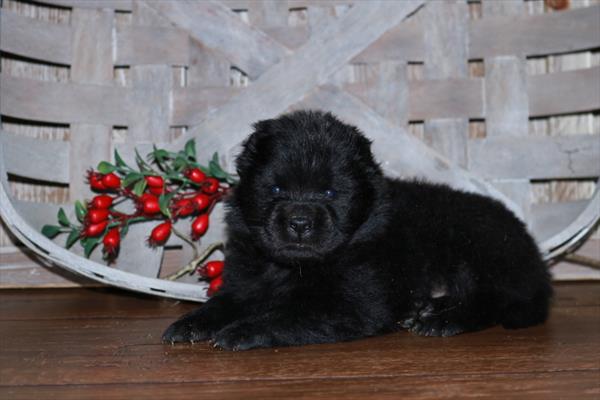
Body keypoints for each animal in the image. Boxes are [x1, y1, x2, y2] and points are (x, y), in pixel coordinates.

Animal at [164, 110, 552, 350]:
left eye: (330, 193)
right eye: (275, 189)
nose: (300, 222)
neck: (292, 269)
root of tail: (535, 257)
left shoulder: (355, 303)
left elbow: (288, 314)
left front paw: (242, 331)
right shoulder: (245, 282)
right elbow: (224, 303)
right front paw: (190, 324)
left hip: (475, 246)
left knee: (496, 300)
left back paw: (444, 320)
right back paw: (424, 309)